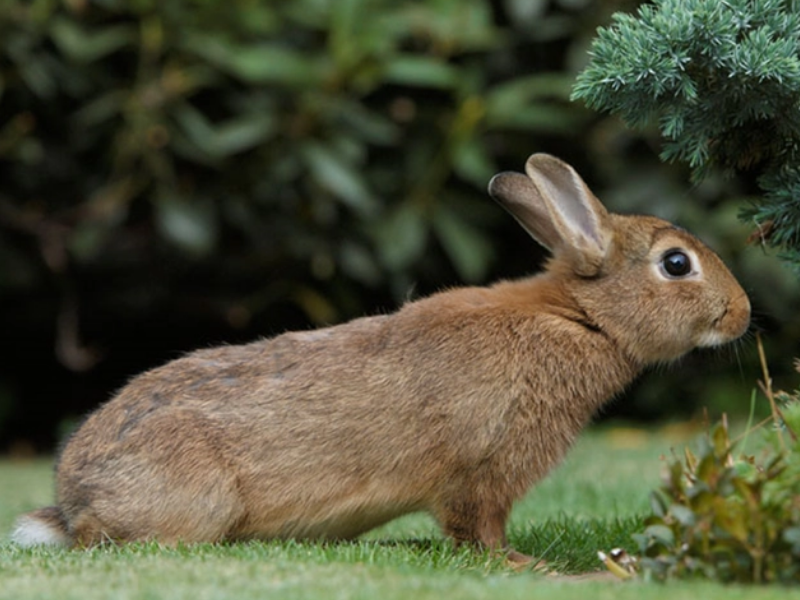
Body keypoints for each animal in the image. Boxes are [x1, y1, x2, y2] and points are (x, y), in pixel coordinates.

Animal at [10, 154, 752, 564]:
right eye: (676, 264)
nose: (742, 314)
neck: (580, 318)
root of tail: (73, 498)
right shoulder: (483, 467)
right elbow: (477, 530)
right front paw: (525, 566)